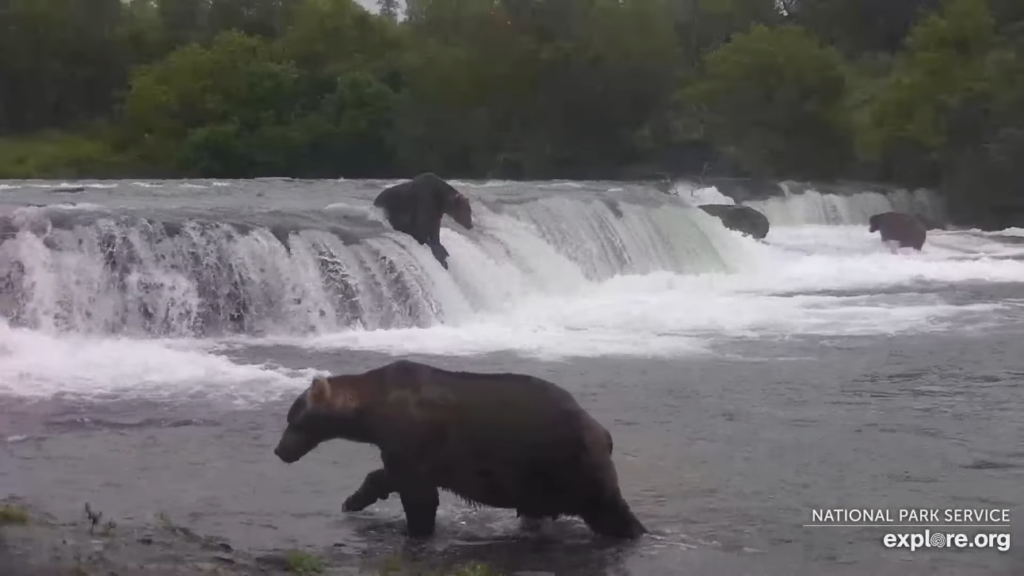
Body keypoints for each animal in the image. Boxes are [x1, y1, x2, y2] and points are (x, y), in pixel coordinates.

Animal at [272, 358, 647, 537]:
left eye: (293, 419)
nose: (279, 451)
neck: (373, 407)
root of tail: (602, 430)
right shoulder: (402, 448)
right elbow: (387, 475)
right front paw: (354, 500)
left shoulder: (412, 435)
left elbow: (420, 497)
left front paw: (416, 530)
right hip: (539, 479)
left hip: (572, 463)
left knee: (611, 511)